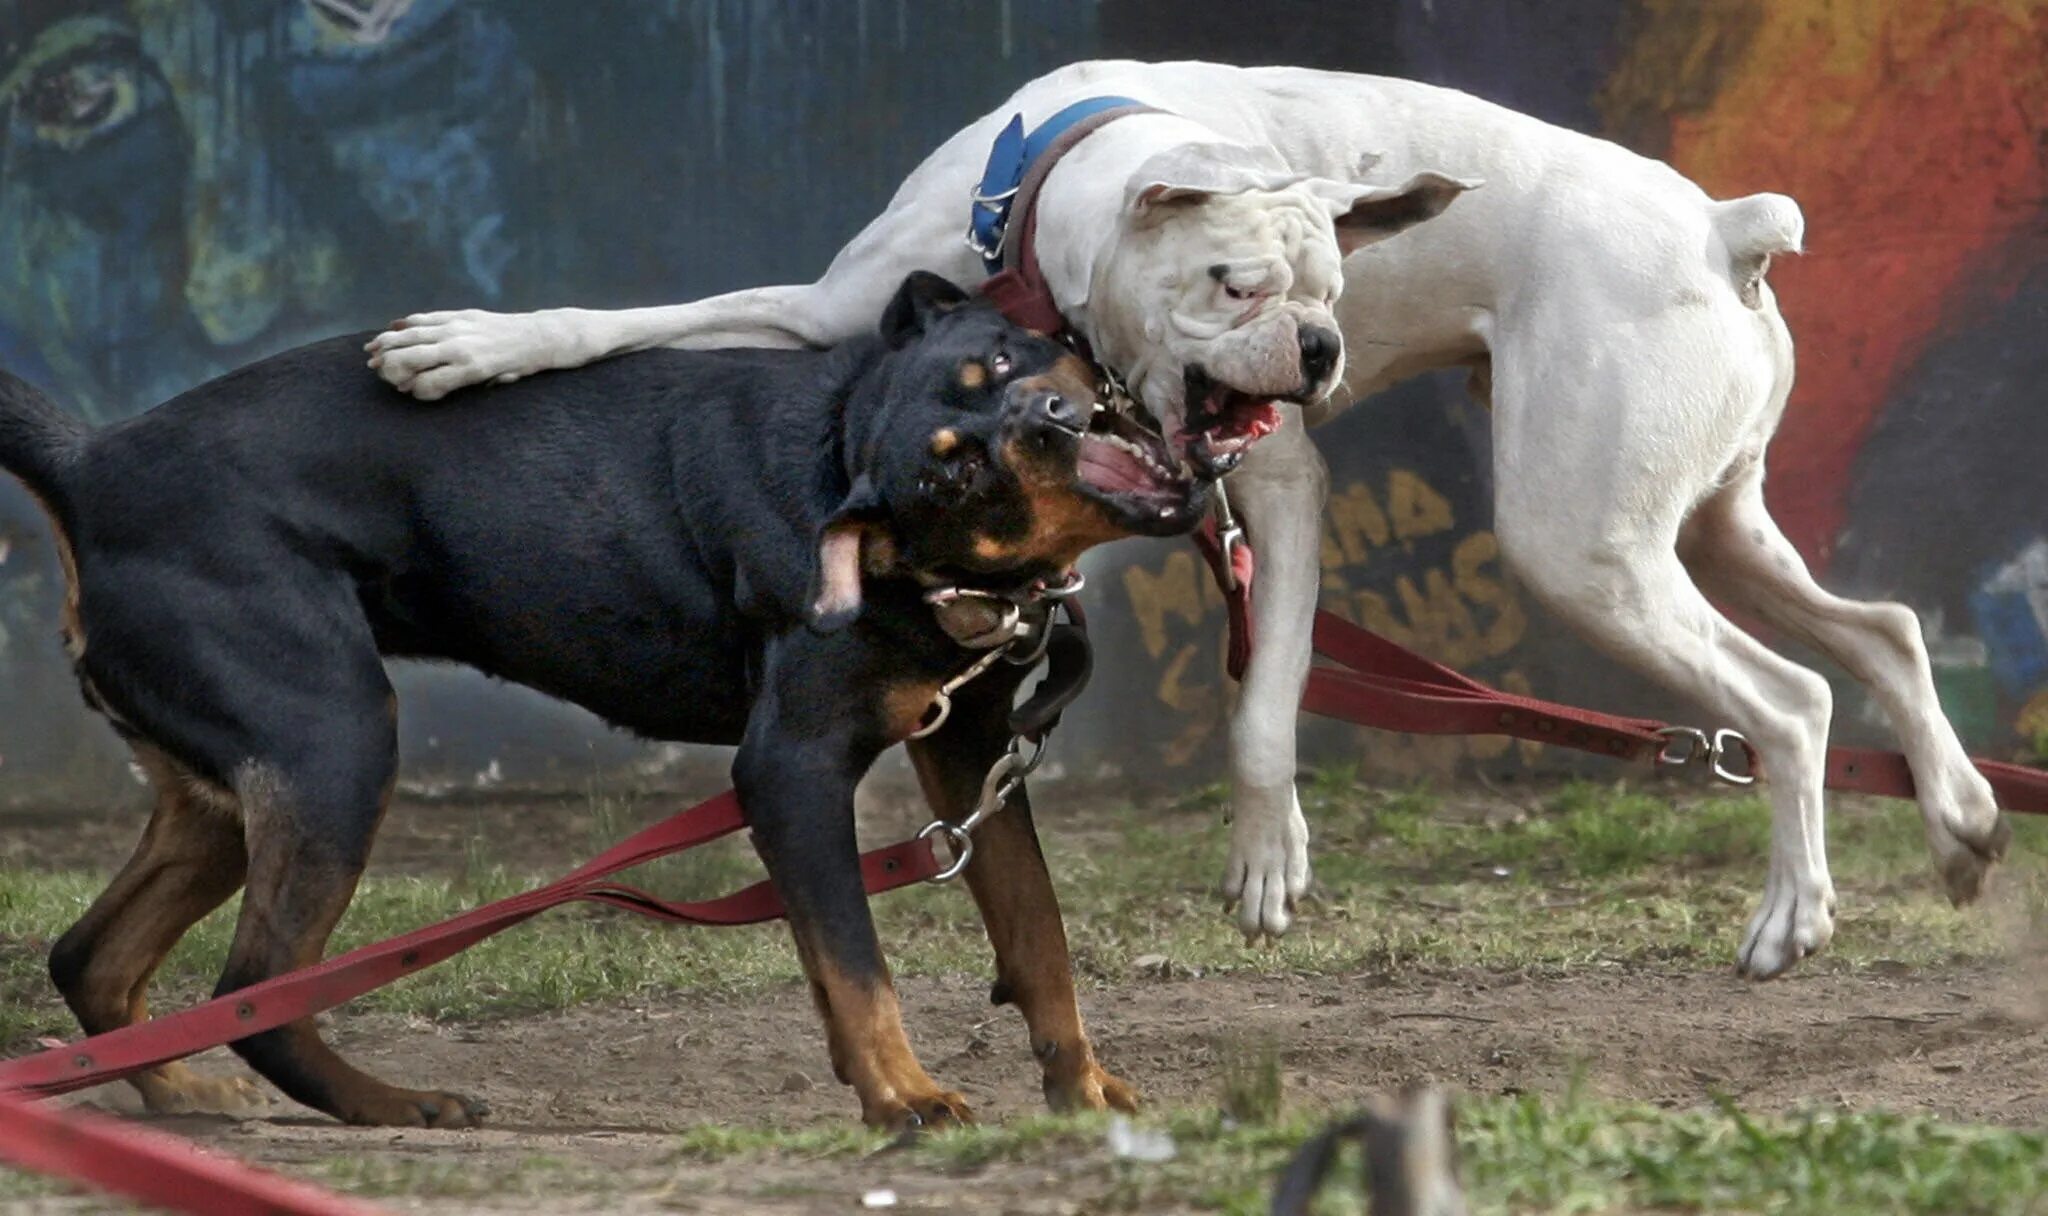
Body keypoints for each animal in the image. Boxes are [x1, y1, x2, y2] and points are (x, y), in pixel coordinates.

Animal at [0, 272, 1204, 1130]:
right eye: (956, 470)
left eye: (1006, 355)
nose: (1052, 418)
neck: (845, 455)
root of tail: (93, 461)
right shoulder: (791, 769)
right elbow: (857, 961)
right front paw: (903, 1097)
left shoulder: (973, 749)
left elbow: (1036, 933)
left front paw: (1083, 1091)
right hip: (331, 740)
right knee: (257, 988)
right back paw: (395, 1105)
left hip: (231, 783)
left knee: (93, 957)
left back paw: (185, 1097)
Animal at [360, 61, 2007, 978]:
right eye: (1236, 281)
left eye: (1335, 289)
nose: (1323, 350)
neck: (1043, 222)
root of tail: (1724, 227)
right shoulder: (823, 314)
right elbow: (637, 318)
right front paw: (470, 346)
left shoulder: (1274, 487)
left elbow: (1264, 701)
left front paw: (1268, 854)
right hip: (1703, 525)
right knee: (1880, 629)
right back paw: (1960, 822)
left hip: (1586, 547)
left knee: (1790, 703)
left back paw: (1794, 919)